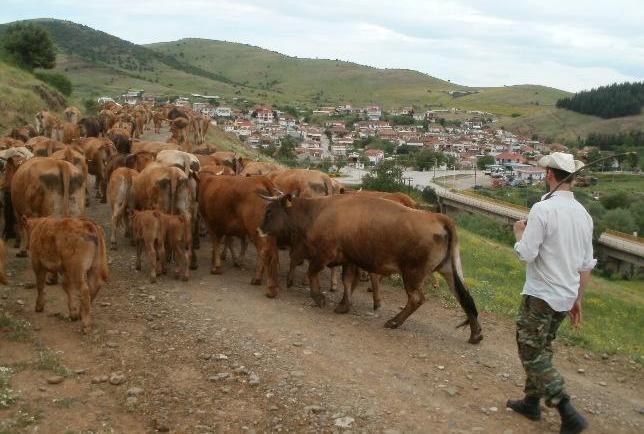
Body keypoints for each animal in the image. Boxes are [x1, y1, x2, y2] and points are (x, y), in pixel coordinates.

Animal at [260, 195, 480, 344]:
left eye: (269, 211)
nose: (260, 229)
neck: (318, 211)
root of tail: (438, 217)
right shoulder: (349, 257)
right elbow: (347, 280)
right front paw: (343, 305)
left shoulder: (325, 253)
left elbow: (312, 272)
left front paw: (319, 298)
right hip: (448, 270)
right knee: (465, 298)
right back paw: (476, 333)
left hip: (412, 273)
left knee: (417, 299)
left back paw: (394, 322)